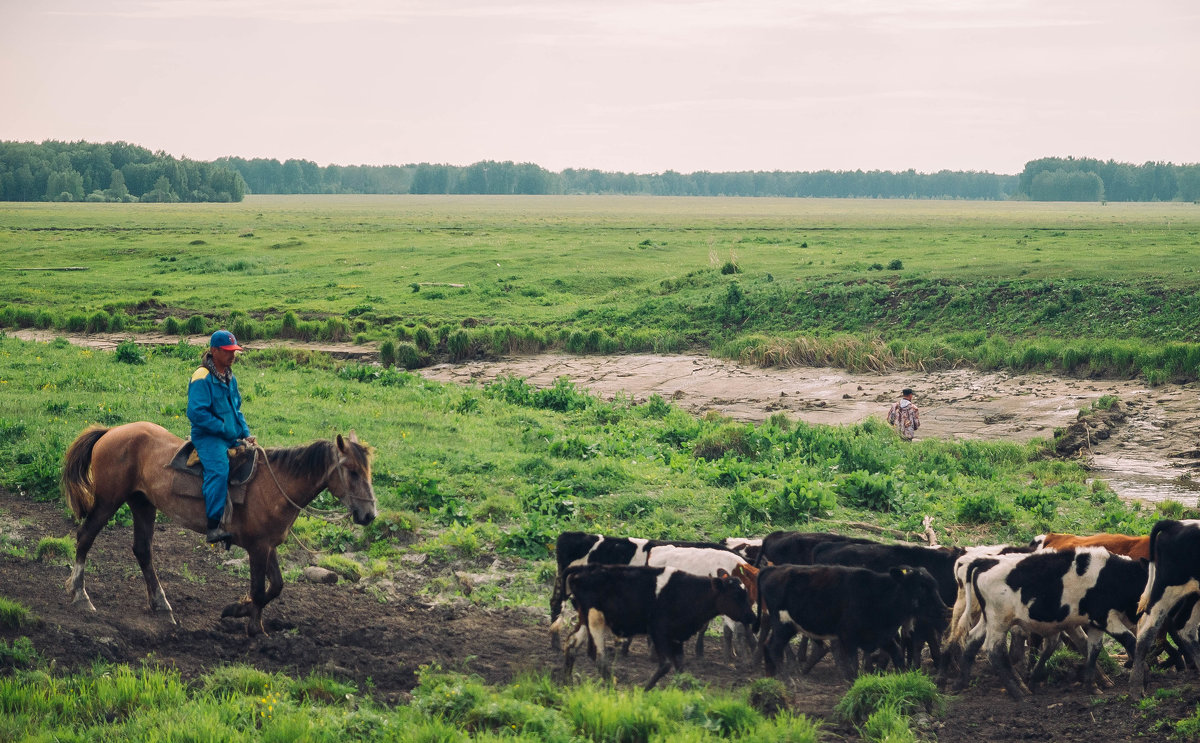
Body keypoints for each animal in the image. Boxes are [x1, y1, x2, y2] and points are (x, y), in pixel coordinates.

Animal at [60, 422, 376, 638]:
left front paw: (242, 612)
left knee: (142, 550)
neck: (276, 485)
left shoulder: (268, 545)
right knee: (85, 538)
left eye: (368, 470)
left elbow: (276, 586)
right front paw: (251, 625)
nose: (370, 514)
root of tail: (112, 431)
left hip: (142, 504)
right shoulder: (257, 548)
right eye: (352, 471)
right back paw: (80, 596)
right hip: (107, 502)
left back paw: (161, 604)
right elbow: (259, 589)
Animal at [559, 564, 753, 691]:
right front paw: (645, 690)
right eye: (737, 595)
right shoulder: (658, 631)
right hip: (595, 619)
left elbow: (681, 668)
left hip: (585, 619)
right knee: (598, 657)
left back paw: (567, 684)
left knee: (572, 643)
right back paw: (612, 687)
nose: (752, 616)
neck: (687, 592)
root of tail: (582, 570)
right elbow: (666, 665)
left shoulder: (677, 636)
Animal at [758, 566, 945, 681]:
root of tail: (774, 569)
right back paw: (788, 680)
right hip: (783, 625)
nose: (943, 610)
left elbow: (898, 656)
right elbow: (853, 667)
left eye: (935, 585)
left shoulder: (882, 636)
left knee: (767, 645)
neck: (879, 595)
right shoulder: (848, 638)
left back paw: (772, 677)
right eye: (921, 587)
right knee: (774, 647)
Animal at [950, 547, 1147, 696]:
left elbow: (1093, 649)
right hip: (999, 621)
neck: (1112, 576)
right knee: (994, 651)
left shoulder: (1094, 623)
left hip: (988, 619)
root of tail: (985, 562)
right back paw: (1017, 691)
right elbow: (1131, 641)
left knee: (973, 639)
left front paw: (1092, 685)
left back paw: (962, 682)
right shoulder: (1105, 618)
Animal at [1128, 518, 1200, 696]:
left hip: (1194, 593)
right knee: (1147, 629)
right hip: (1166, 588)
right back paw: (1136, 687)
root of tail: (1176, 524)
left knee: (1186, 627)